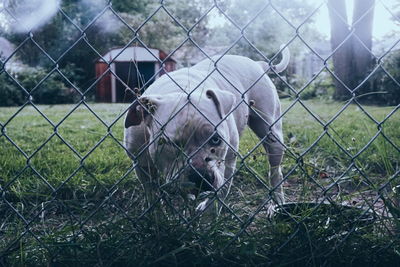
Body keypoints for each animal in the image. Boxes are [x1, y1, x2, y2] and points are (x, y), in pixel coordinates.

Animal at [123, 46, 290, 214]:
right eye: (169, 143)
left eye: (216, 139)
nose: (201, 178)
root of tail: (258, 63)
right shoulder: (142, 165)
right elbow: (151, 193)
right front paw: (157, 213)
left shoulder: (227, 162)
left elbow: (220, 192)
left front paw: (208, 212)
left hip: (271, 134)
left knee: (275, 171)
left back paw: (277, 202)